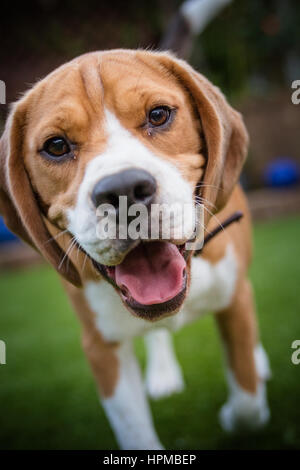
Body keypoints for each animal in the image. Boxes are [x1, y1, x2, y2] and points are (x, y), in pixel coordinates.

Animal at [0, 49, 270, 450]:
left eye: (158, 115)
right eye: (56, 146)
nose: (123, 189)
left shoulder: (235, 298)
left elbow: (248, 400)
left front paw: (237, 414)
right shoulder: (101, 348)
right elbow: (134, 432)